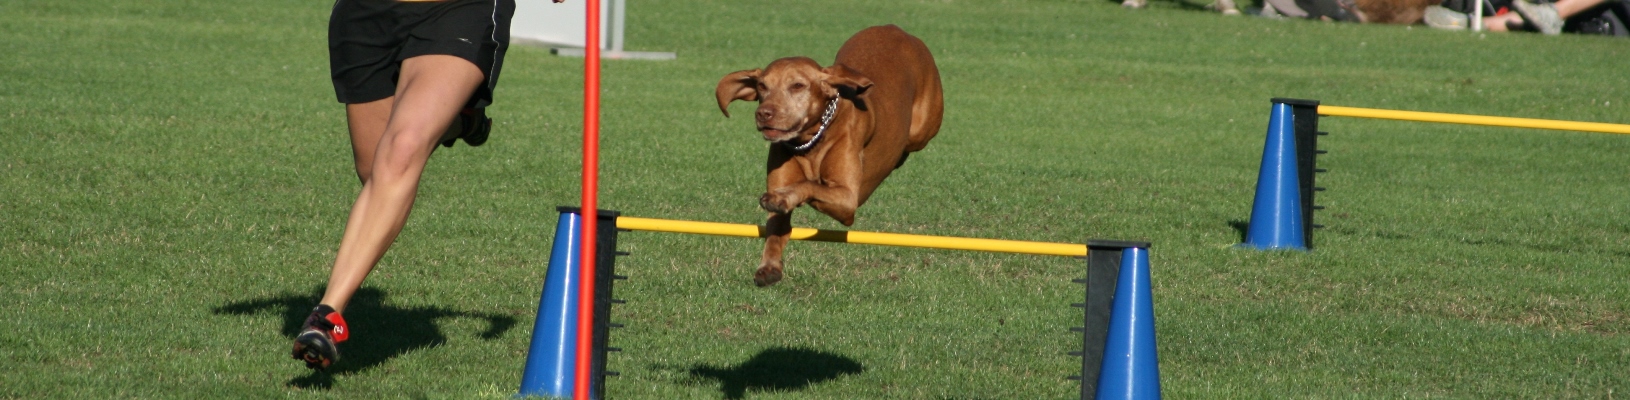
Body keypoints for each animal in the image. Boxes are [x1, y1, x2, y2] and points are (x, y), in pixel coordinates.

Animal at [714, 24, 943, 287]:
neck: (811, 141)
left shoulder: (847, 199)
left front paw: (783, 196)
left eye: (797, 86)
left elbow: (809, 185)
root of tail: (895, 28)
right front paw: (769, 267)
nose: (763, 113)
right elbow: (775, 231)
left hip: (922, 131)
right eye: (762, 86)